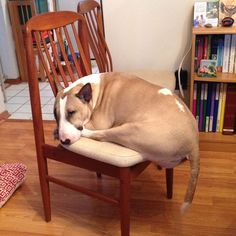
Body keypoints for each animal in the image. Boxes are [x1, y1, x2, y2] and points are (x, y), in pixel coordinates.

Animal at [53, 72, 199, 212]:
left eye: (72, 112)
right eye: (55, 115)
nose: (64, 140)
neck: (96, 91)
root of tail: (194, 143)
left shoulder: (99, 123)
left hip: (129, 129)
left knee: (101, 135)